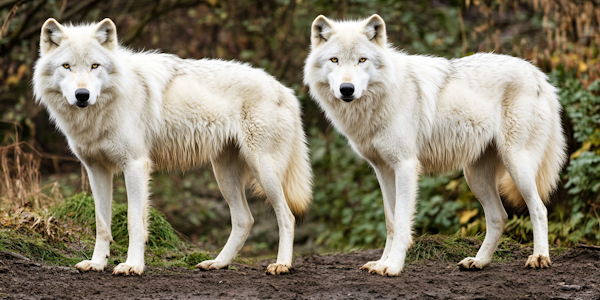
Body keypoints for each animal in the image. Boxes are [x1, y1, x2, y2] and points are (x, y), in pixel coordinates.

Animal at [34, 18, 314, 276]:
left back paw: (281, 264)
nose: (82, 95)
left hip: (263, 170)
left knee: (286, 216)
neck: (102, 111)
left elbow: (134, 221)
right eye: (67, 66)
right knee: (245, 220)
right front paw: (96, 263)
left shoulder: (135, 165)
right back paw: (218, 263)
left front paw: (132, 265)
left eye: (95, 66)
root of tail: (285, 90)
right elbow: (101, 222)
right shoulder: (96, 170)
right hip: (224, 175)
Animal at [304, 14, 568, 276]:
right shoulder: (383, 170)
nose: (346, 89)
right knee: (499, 216)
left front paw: (393, 265)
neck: (383, 97)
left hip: (517, 165)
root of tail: (540, 75)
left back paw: (539, 257)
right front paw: (381, 262)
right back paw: (479, 261)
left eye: (362, 60)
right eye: (334, 60)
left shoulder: (405, 166)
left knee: (539, 209)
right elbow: (391, 221)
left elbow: (402, 221)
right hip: (475, 176)